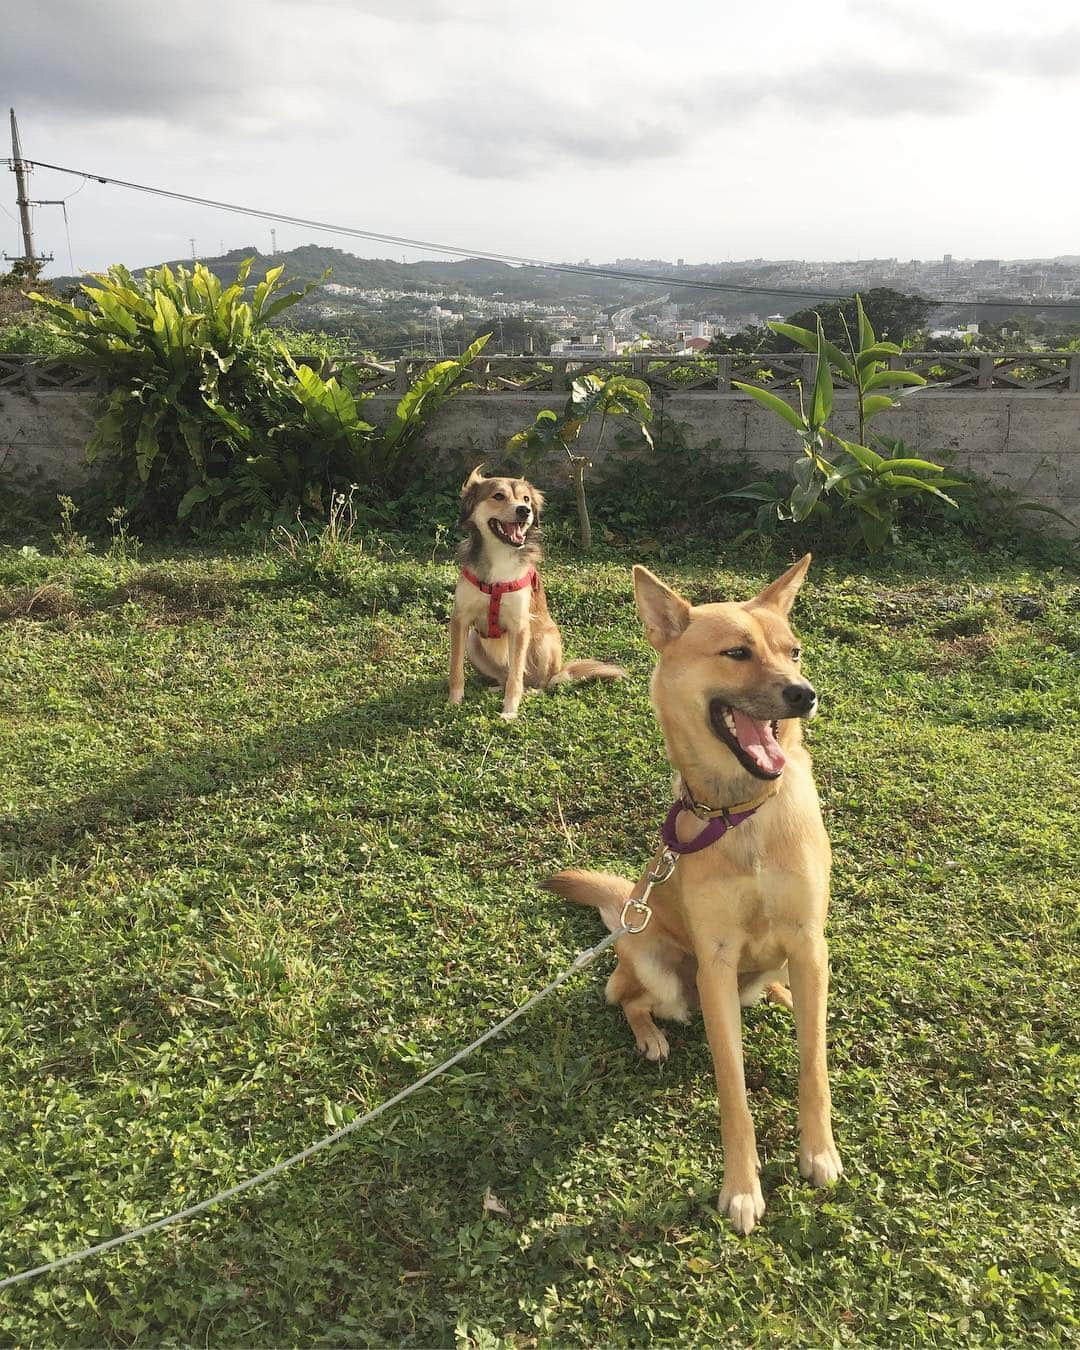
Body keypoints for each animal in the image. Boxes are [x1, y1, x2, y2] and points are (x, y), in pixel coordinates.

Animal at [448, 467, 623, 723]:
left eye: (526, 499)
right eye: (498, 496)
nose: (524, 510)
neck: (500, 558)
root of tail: (561, 670)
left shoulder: (520, 625)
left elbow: (516, 676)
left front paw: (510, 710)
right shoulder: (460, 620)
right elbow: (456, 668)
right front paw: (454, 701)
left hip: (543, 641)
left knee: (540, 682)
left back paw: (531, 691)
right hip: (474, 640)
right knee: (506, 676)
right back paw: (496, 687)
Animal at [545, 556, 837, 1236]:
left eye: (794, 650)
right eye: (737, 652)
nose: (804, 693)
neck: (741, 814)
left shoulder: (810, 940)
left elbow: (813, 1064)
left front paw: (818, 1152)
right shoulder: (716, 962)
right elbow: (733, 1088)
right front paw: (742, 1188)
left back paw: (785, 994)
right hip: (654, 958)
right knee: (625, 997)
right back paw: (649, 1034)